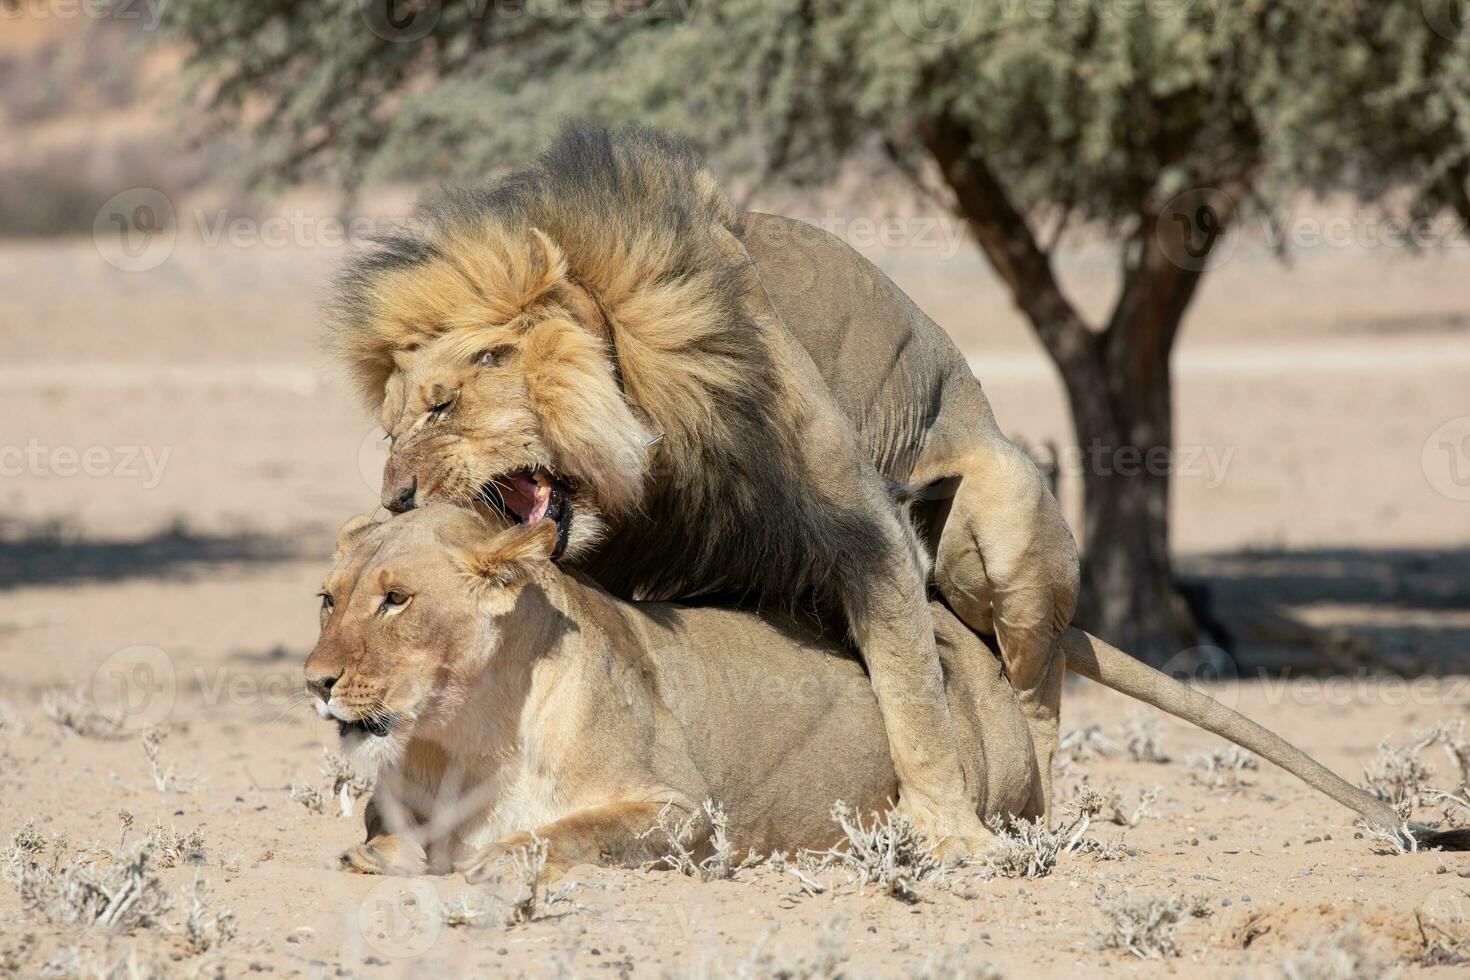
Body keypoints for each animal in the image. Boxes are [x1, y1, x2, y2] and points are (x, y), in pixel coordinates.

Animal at [304, 505, 1464, 875]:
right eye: (327, 597)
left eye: (398, 600)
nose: (314, 682)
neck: (466, 731)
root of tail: (964, 629)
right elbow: (389, 839)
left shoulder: (685, 812)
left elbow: (535, 841)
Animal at [333, 126, 1081, 852]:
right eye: (391, 428)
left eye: (444, 405)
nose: (397, 498)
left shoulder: (870, 532)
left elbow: (914, 696)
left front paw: (950, 833)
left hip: (1008, 515)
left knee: (1039, 691)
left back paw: (1037, 814)